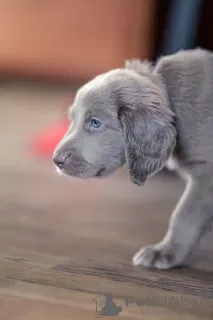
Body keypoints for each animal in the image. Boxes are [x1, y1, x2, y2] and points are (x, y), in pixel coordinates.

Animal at [52, 48, 213, 268]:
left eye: (95, 122)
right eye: (72, 119)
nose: (56, 160)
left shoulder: (206, 175)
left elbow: (184, 215)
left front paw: (164, 252)